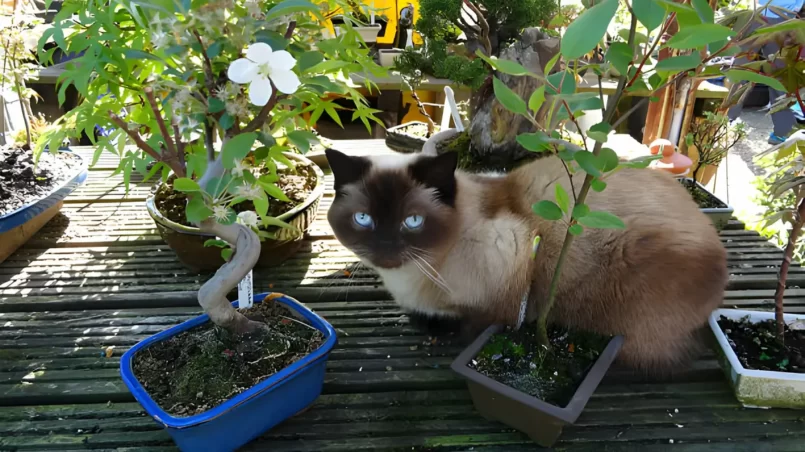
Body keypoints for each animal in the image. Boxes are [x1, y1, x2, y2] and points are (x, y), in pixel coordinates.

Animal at [326, 149, 728, 374]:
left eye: (412, 221)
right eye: (363, 219)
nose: (385, 248)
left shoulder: (512, 258)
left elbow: (473, 322)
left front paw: (437, 324)